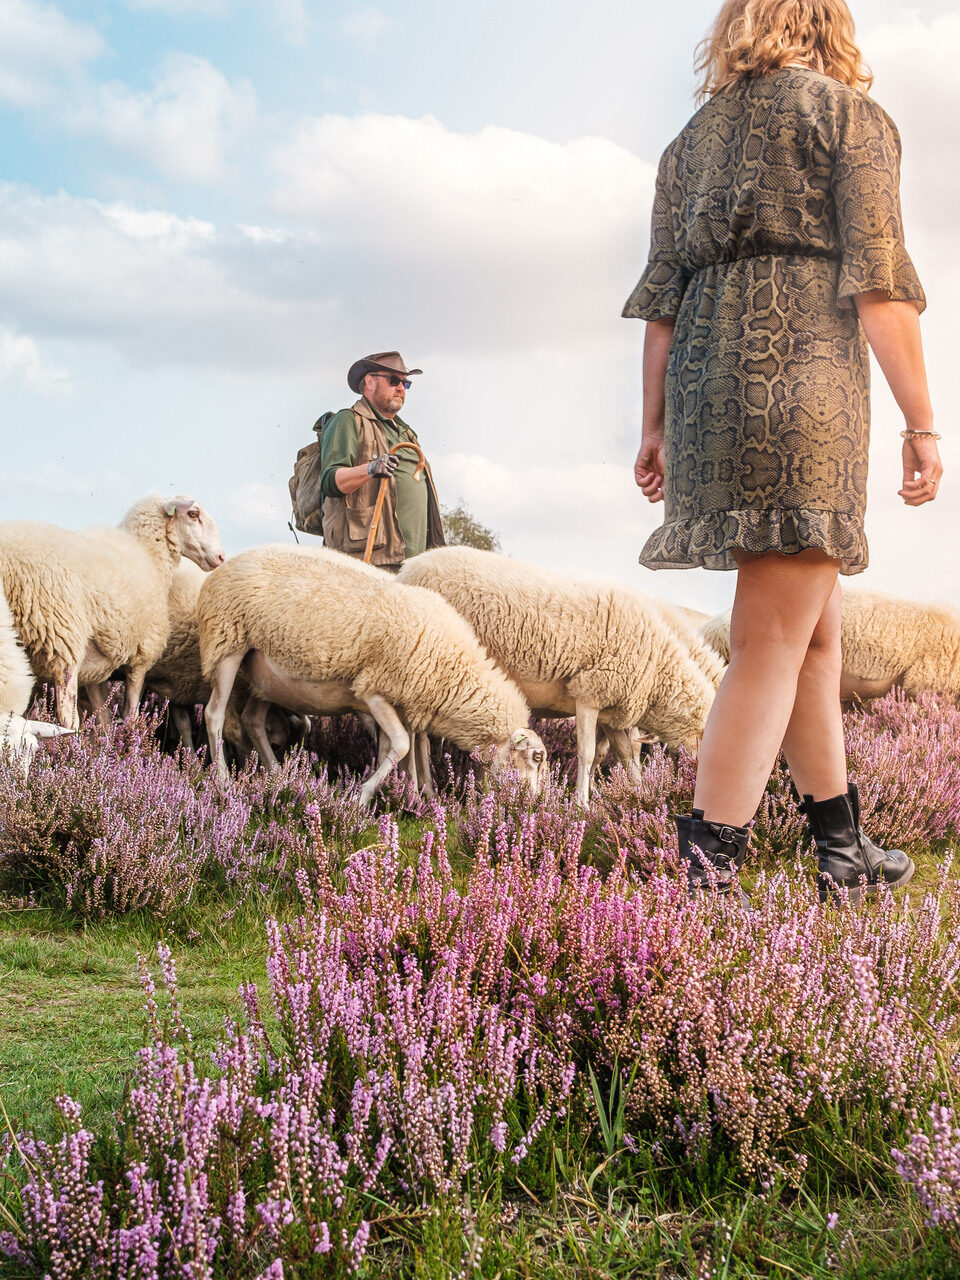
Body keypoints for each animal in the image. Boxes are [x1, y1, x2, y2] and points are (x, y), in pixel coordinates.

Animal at [0, 491, 225, 727]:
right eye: (193, 514)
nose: (221, 557)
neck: (148, 554)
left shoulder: (95, 668)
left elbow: (104, 717)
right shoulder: (141, 658)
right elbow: (131, 714)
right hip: (61, 637)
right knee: (67, 716)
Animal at [195, 545, 547, 803]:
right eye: (536, 758)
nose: (533, 804)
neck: (453, 669)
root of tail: (224, 565)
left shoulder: (401, 703)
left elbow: (392, 749)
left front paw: (404, 796)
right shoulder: (374, 691)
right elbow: (402, 745)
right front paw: (362, 797)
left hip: (266, 679)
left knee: (253, 720)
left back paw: (279, 776)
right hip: (227, 641)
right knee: (214, 714)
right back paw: (224, 781)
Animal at [396, 545, 721, 803]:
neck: (657, 670)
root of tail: (408, 567)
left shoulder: (613, 710)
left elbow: (626, 757)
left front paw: (640, 794)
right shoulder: (590, 693)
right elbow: (588, 754)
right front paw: (582, 803)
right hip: (424, 668)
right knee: (418, 739)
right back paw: (421, 791)